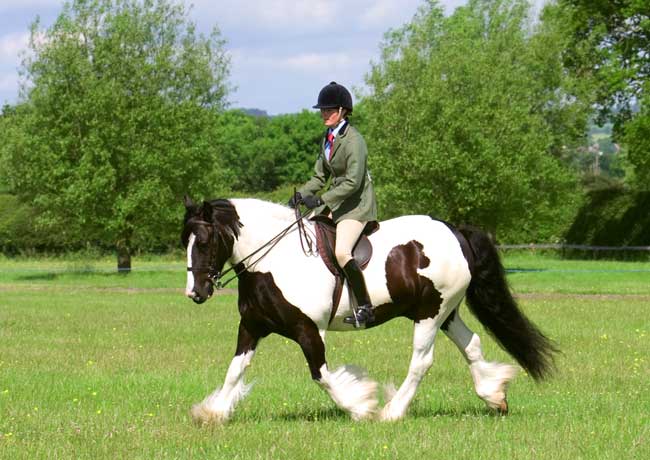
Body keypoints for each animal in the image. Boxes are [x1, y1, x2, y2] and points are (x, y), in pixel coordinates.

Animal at [180, 196, 556, 422]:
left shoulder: (308, 330)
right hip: (446, 312)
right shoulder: (253, 326)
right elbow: (235, 370)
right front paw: (213, 412)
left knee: (421, 361)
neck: (273, 260)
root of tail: (455, 231)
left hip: (430, 313)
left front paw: (361, 404)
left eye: (204, 242)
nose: (195, 292)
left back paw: (393, 411)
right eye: (185, 240)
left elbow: (322, 376)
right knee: (472, 344)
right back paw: (494, 395)